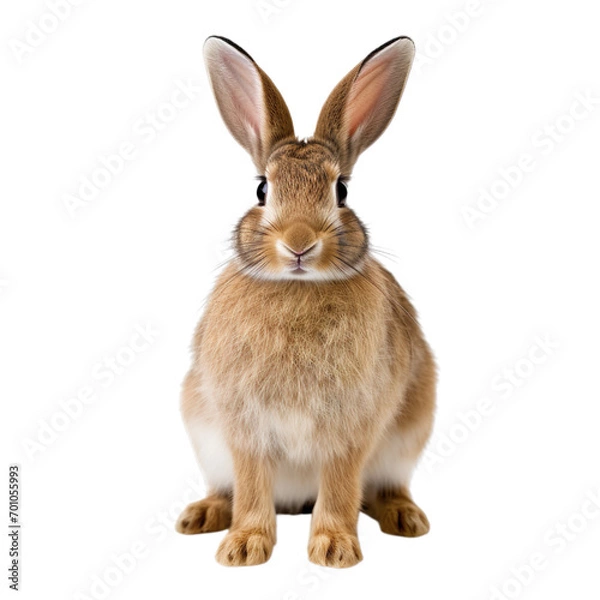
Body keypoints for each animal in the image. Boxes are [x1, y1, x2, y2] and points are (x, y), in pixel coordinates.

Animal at [176, 35, 438, 568]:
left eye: (342, 191)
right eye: (262, 189)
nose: (299, 242)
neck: (299, 288)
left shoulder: (350, 427)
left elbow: (339, 486)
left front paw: (335, 550)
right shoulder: (244, 427)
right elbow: (252, 485)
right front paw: (243, 548)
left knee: (382, 488)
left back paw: (406, 518)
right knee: (227, 489)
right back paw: (201, 515)